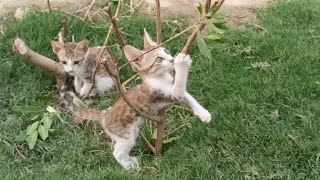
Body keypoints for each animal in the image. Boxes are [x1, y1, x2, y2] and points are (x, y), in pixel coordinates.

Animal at [62, 29, 212, 169]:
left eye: (166, 51)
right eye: (158, 60)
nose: (171, 59)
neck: (160, 78)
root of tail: (104, 114)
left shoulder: (172, 86)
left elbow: (189, 97)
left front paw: (203, 114)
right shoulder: (169, 93)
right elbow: (181, 86)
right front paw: (182, 63)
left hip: (133, 132)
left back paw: (130, 160)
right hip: (126, 136)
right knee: (116, 152)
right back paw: (128, 165)